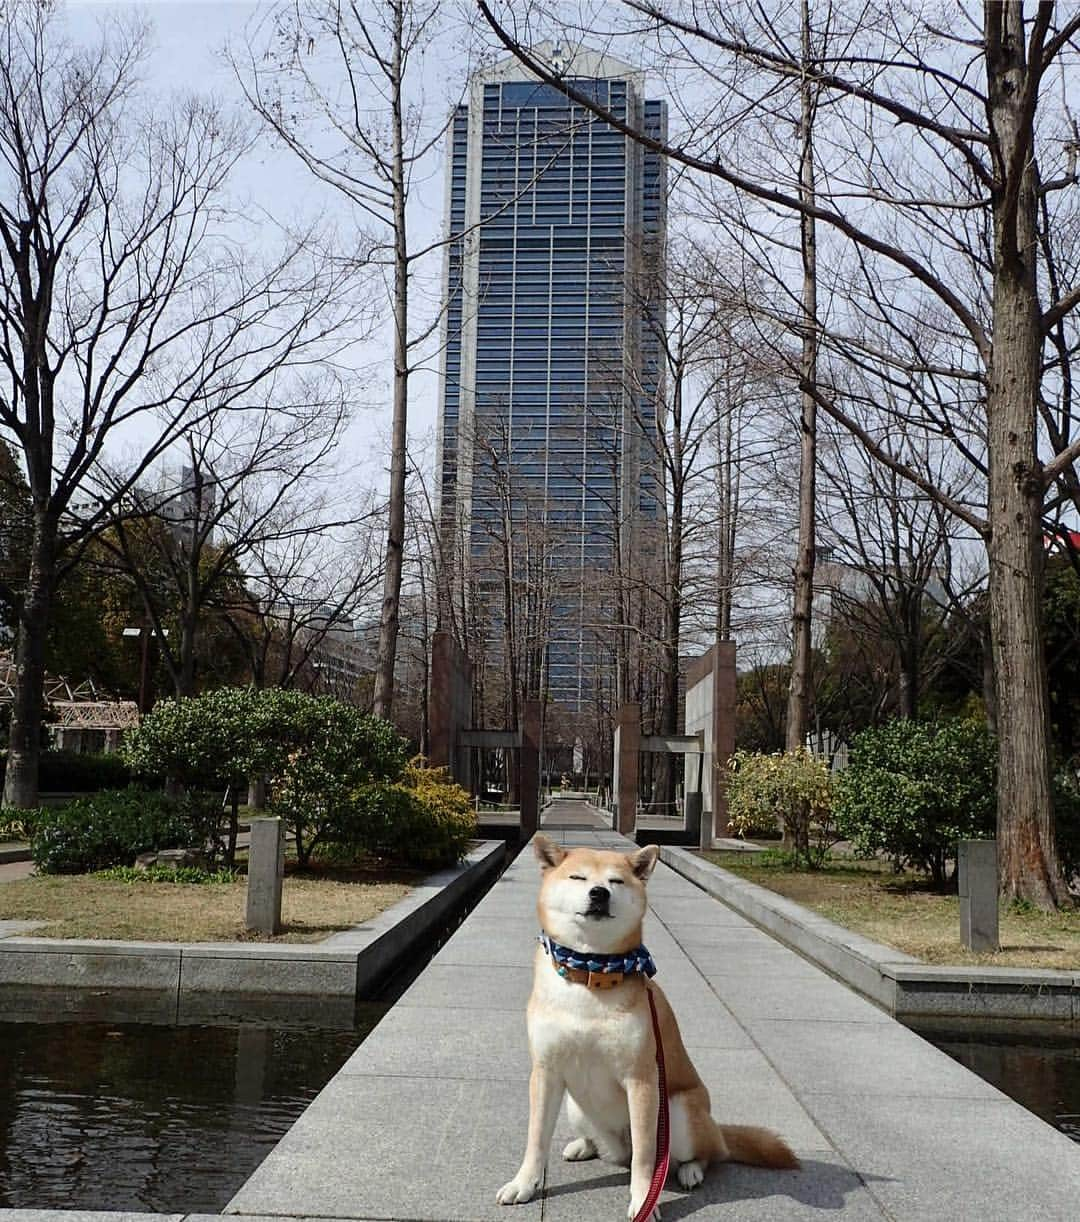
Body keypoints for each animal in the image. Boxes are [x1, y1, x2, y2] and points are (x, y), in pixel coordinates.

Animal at [496, 835, 791, 1217]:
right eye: (577, 877)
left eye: (616, 881)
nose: (599, 893)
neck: (591, 975)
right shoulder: (546, 1072)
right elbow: (536, 1140)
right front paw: (524, 1184)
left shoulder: (642, 1080)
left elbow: (646, 1157)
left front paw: (643, 1202)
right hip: (576, 1107)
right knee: (608, 1145)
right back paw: (583, 1145)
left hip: (679, 1112)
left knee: (705, 1153)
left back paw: (691, 1170)